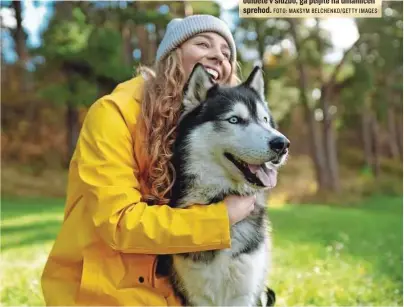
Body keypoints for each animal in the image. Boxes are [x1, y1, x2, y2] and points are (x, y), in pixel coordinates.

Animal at [156, 63, 288, 306]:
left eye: (265, 120)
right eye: (234, 120)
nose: (282, 144)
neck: (221, 197)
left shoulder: (245, 294)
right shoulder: (196, 296)